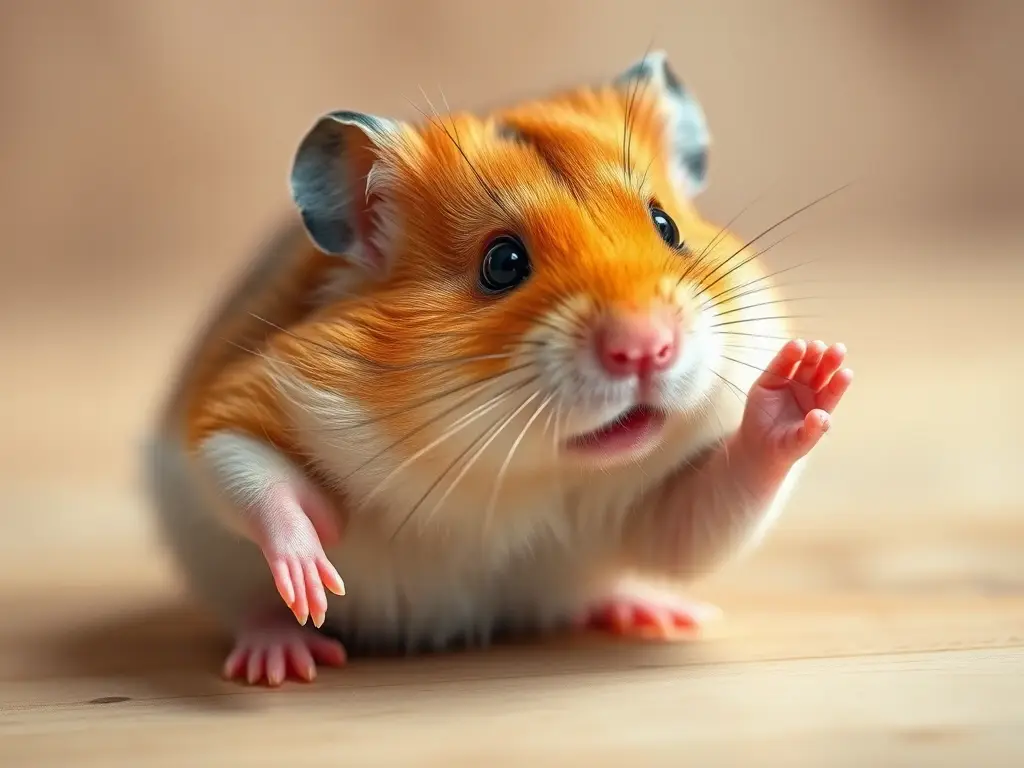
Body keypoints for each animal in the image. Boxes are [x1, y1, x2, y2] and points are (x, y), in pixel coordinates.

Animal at [145, 50, 853, 686]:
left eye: (666, 225)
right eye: (503, 264)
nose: (647, 348)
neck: (517, 477)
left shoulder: (651, 507)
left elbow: (706, 515)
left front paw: (814, 373)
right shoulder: (232, 401)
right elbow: (248, 472)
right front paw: (317, 574)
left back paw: (656, 612)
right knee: (251, 604)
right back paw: (283, 656)